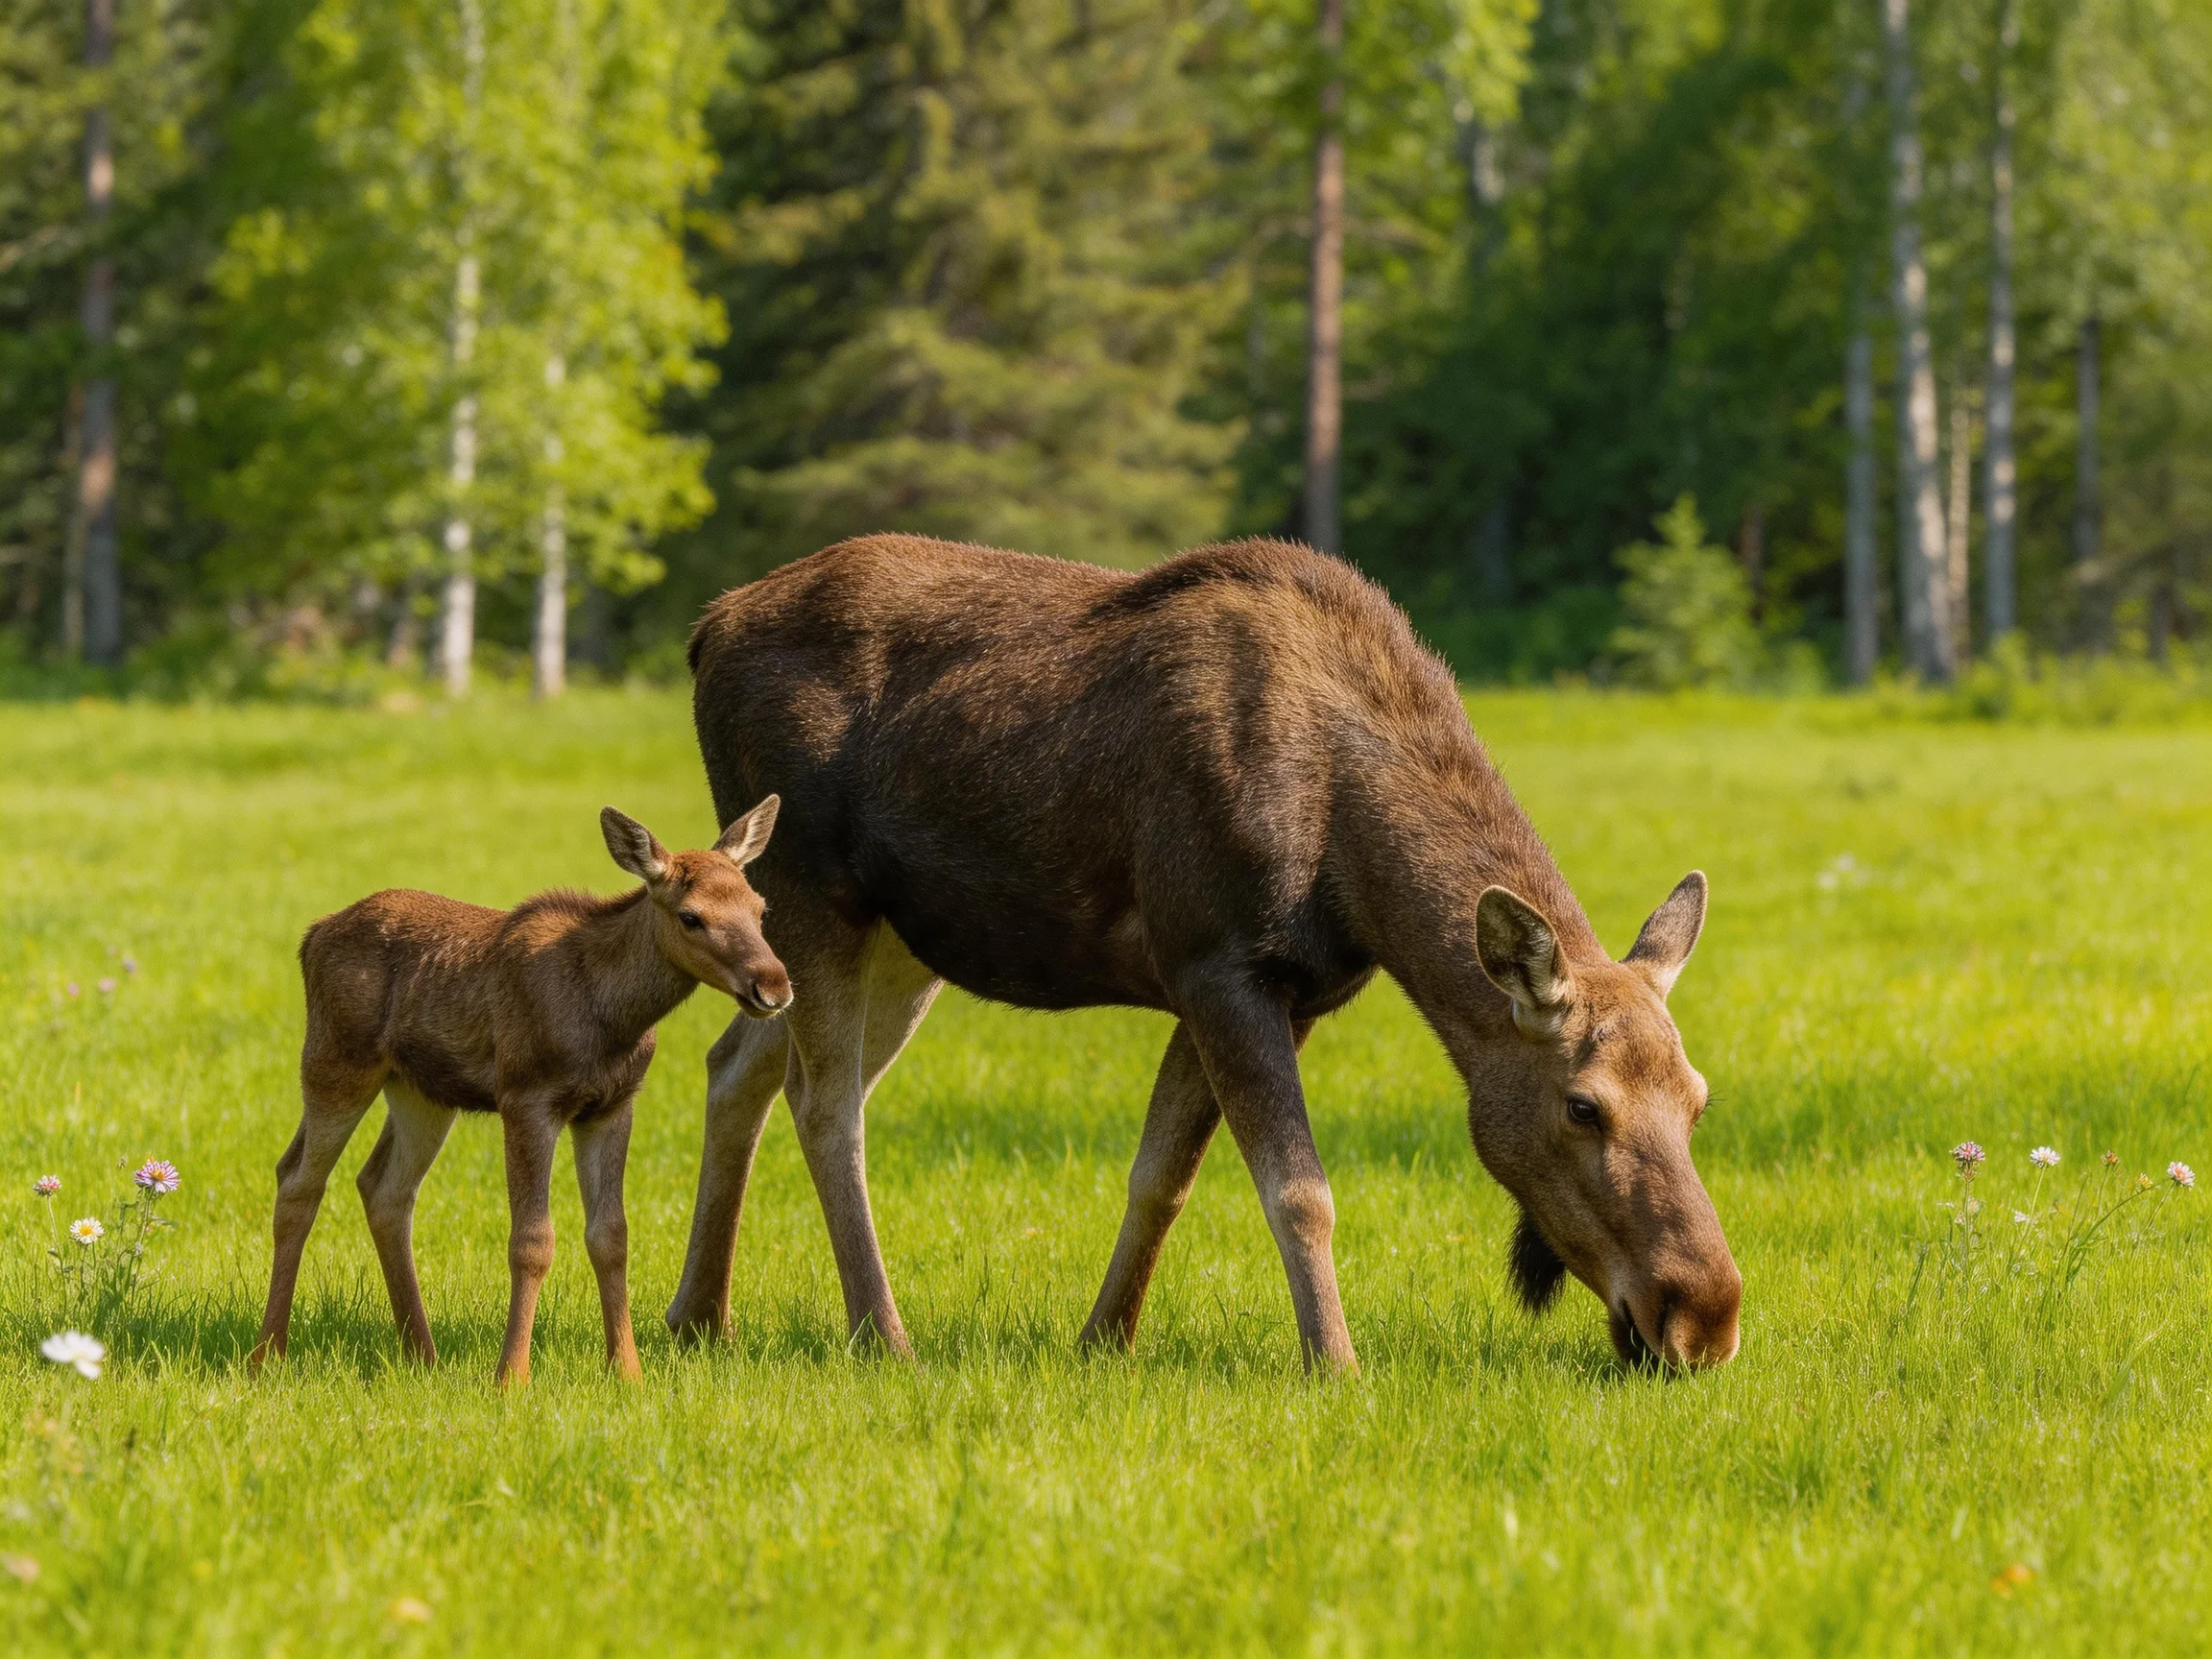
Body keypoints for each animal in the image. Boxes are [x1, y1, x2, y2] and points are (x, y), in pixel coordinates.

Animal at [250, 799, 788, 1385]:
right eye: (691, 916)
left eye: (760, 908)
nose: (774, 985)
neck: (610, 1019)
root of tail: (310, 937)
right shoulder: (527, 1097)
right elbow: (532, 1241)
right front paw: (511, 1376)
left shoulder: (612, 1105)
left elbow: (612, 1236)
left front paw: (627, 1371)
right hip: (336, 1059)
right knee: (298, 1180)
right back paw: (267, 1354)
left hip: (420, 1091)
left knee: (384, 1188)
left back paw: (422, 1354)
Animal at [667, 534, 1741, 1375]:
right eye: (1582, 1105)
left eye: (1698, 1100)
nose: (1706, 1317)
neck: (1357, 868)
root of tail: (704, 629)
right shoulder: (1221, 962)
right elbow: (1299, 1190)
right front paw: (1335, 1364)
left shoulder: (1267, 989)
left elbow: (1161, 1177)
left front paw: (1104, 1339)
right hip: (816, 891)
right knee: (826, 1102)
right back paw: (880, 1335)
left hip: (894, 938)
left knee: (736, 1063)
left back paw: (698, 1316)